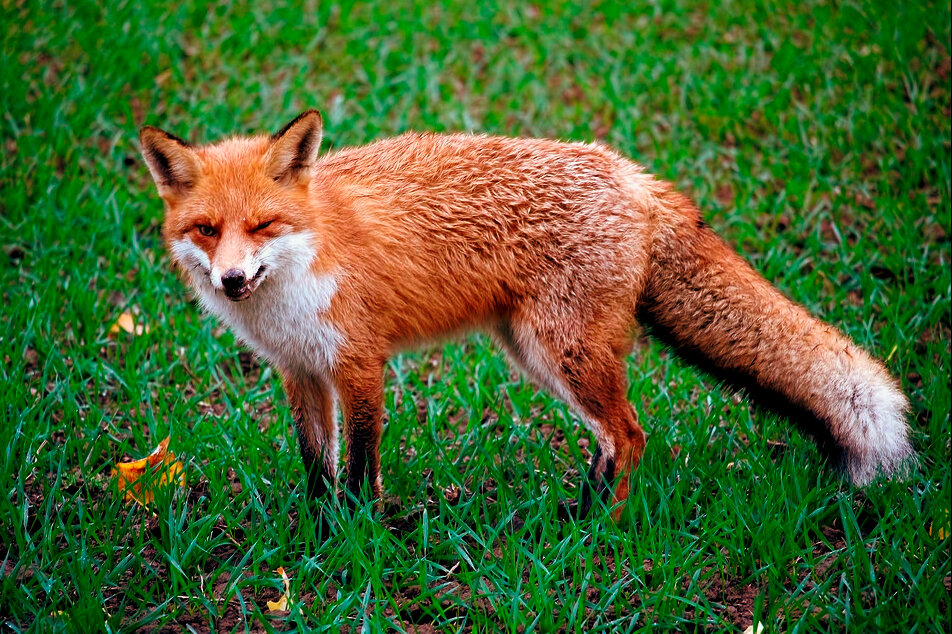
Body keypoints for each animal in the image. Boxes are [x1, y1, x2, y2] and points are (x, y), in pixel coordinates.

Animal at [139, 110, 913, 519]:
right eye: (207, 230)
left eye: (262, 225)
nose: (231, 280)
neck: (297, 274)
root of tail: (632, 173)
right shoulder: (301, 371)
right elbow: (315, 463)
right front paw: (319, 531)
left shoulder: (359, 363)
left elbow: (359, 465)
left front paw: (360, 535)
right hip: (537, 354)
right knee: (609, 438)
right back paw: (580, 508)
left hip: (561, 351)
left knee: (631, 434)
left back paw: (606, 526)